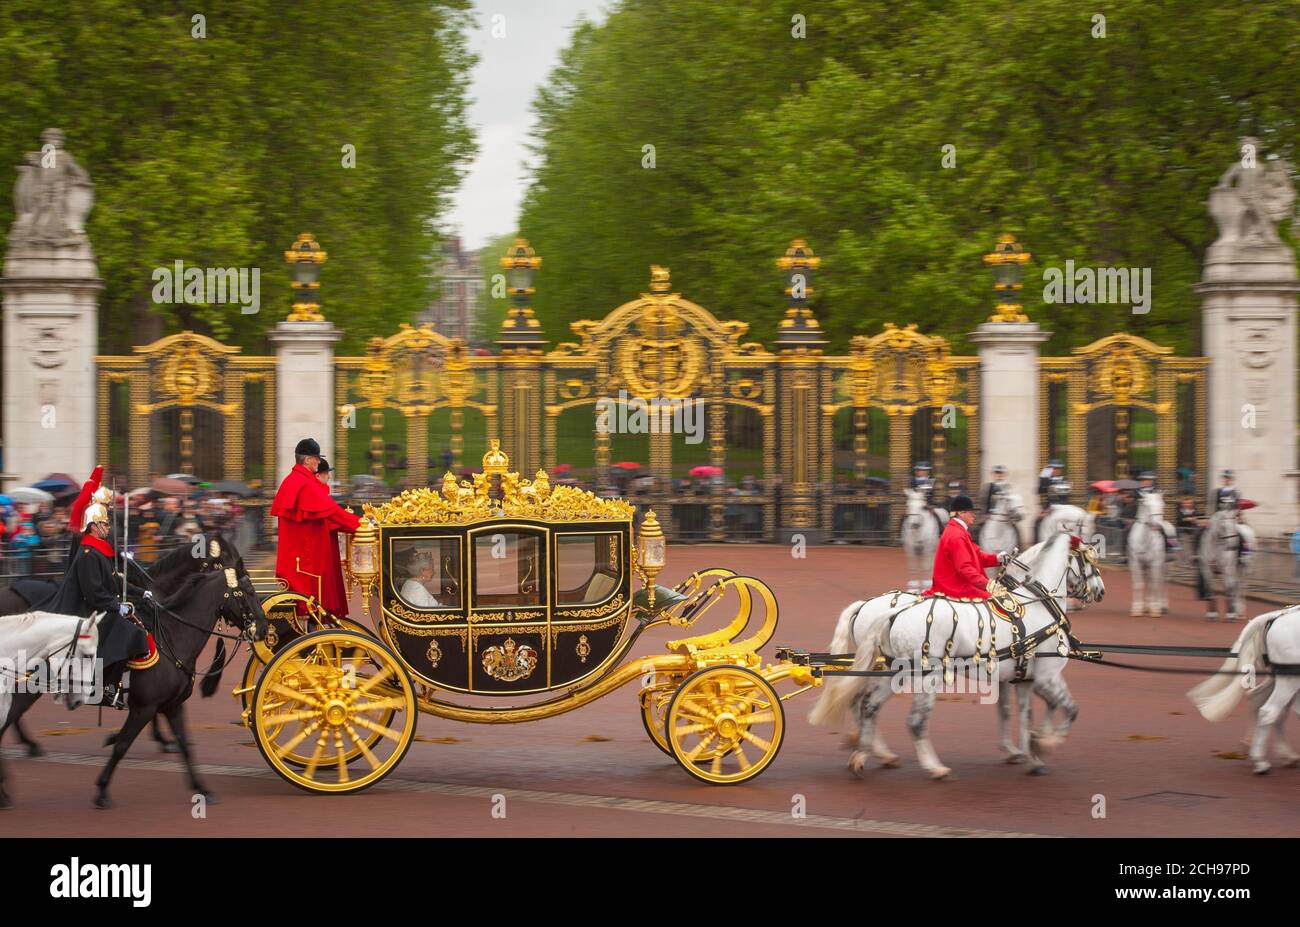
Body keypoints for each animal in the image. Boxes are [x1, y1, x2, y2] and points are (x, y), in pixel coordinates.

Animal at [811, 530, 1097, 774]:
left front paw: (1025, 752)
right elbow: (1066, 708)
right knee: (902, 716)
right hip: (923, 674)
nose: (1099, 590)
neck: (1036, 603)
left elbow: (1016, 713)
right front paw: (1041, 744)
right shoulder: (1046, 676)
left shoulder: (1018, 678)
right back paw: (927, 765)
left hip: (892, 672)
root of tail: (870, 607)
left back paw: (870, 752)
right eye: (1090, 560)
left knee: (865, 704)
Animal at [1190, 608, 1300, 774]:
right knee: (1269, 712)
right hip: (1289, 680)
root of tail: (1275, 617)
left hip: (1283, 680)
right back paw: (1261, 762)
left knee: (1261, 701)